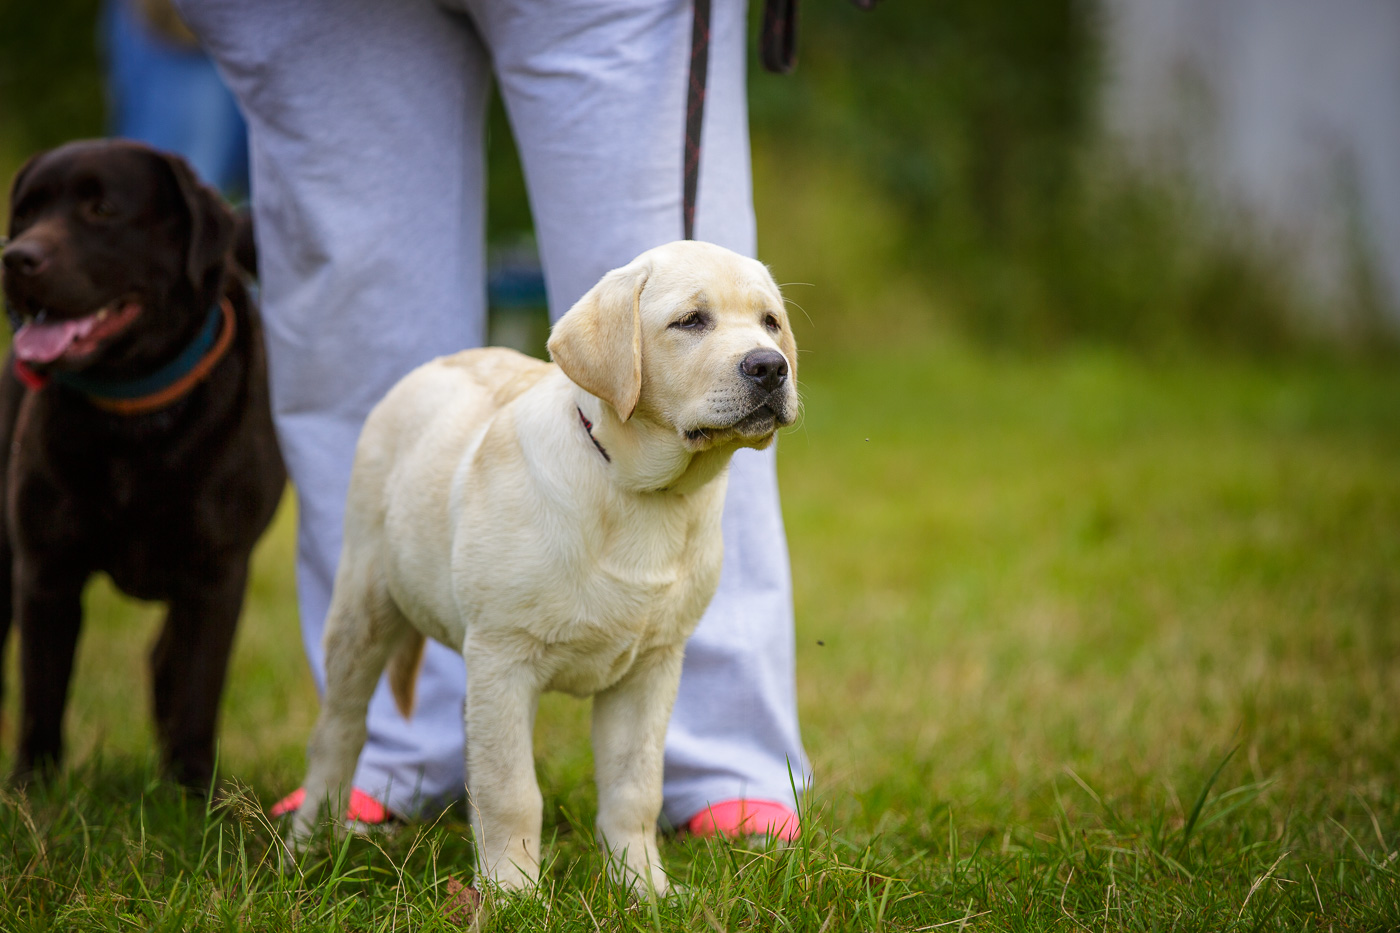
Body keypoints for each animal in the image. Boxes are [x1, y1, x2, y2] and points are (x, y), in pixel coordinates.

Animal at [287, 239, 800, 896]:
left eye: (770, 323)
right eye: (690, 321)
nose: (770, 367)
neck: (646, 494)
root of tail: (441, 362)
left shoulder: (652, 667)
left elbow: (636, 787)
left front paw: (644, 887)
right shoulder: (505, 658)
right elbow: (511, 790)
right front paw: (512, 893)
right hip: (364, 602)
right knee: (338, 730)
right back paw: (308, 844)